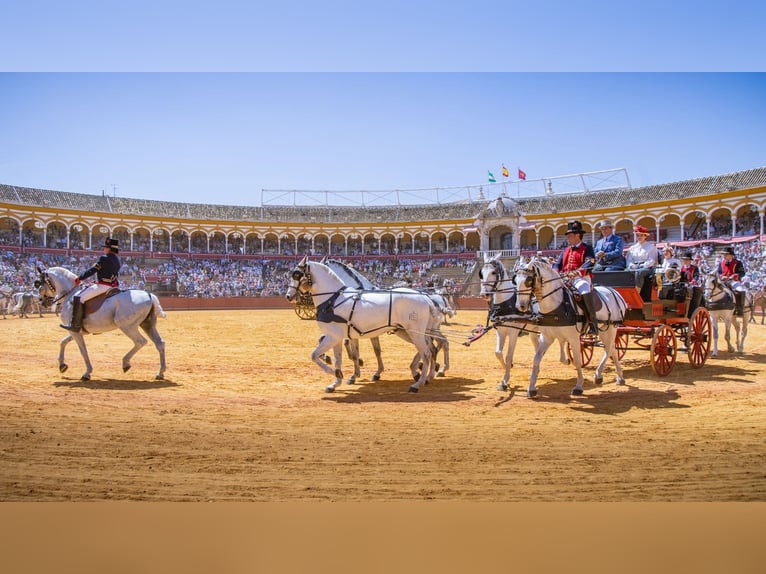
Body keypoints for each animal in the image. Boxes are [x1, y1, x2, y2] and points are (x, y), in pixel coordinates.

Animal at [38, 266, 167, 382]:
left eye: (39, 284)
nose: (42, 302)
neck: (70, 295)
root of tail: (149, 295)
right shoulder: (76, 330)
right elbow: (63, 342)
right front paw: (62, 365)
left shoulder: (74, 331)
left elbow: (82, 350)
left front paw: (87, 373)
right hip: (147, 325)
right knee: (159, 343)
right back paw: (160, 372)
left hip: (127, 326)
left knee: (140, 342)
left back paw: (126, 363)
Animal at [284, 258, 440, 396]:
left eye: (296, 275)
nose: (288, 296)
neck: (332, 300)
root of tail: (425, 298)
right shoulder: (337, 337)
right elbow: (339, 359)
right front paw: (336, 382)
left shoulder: (333, 336)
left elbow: (314, 355)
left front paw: (335, 372)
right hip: (411, 332)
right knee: (430, 349)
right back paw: (427, 375)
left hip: (415, 332)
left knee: (427, 353)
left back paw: (418, 383)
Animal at [512, 258, 628, 398]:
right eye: (515, 280)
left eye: (529, 280)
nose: (521, 306)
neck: (556, 305)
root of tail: (614, 292)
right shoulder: (547, 337)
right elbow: (536, 359)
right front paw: (531, 388)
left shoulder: (573, 338)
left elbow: (577, 361)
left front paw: (578, 387)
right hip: (604, 330)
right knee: (612, 349)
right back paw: (619, 377)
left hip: (611, 329)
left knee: (609, 348)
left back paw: (599, 375)